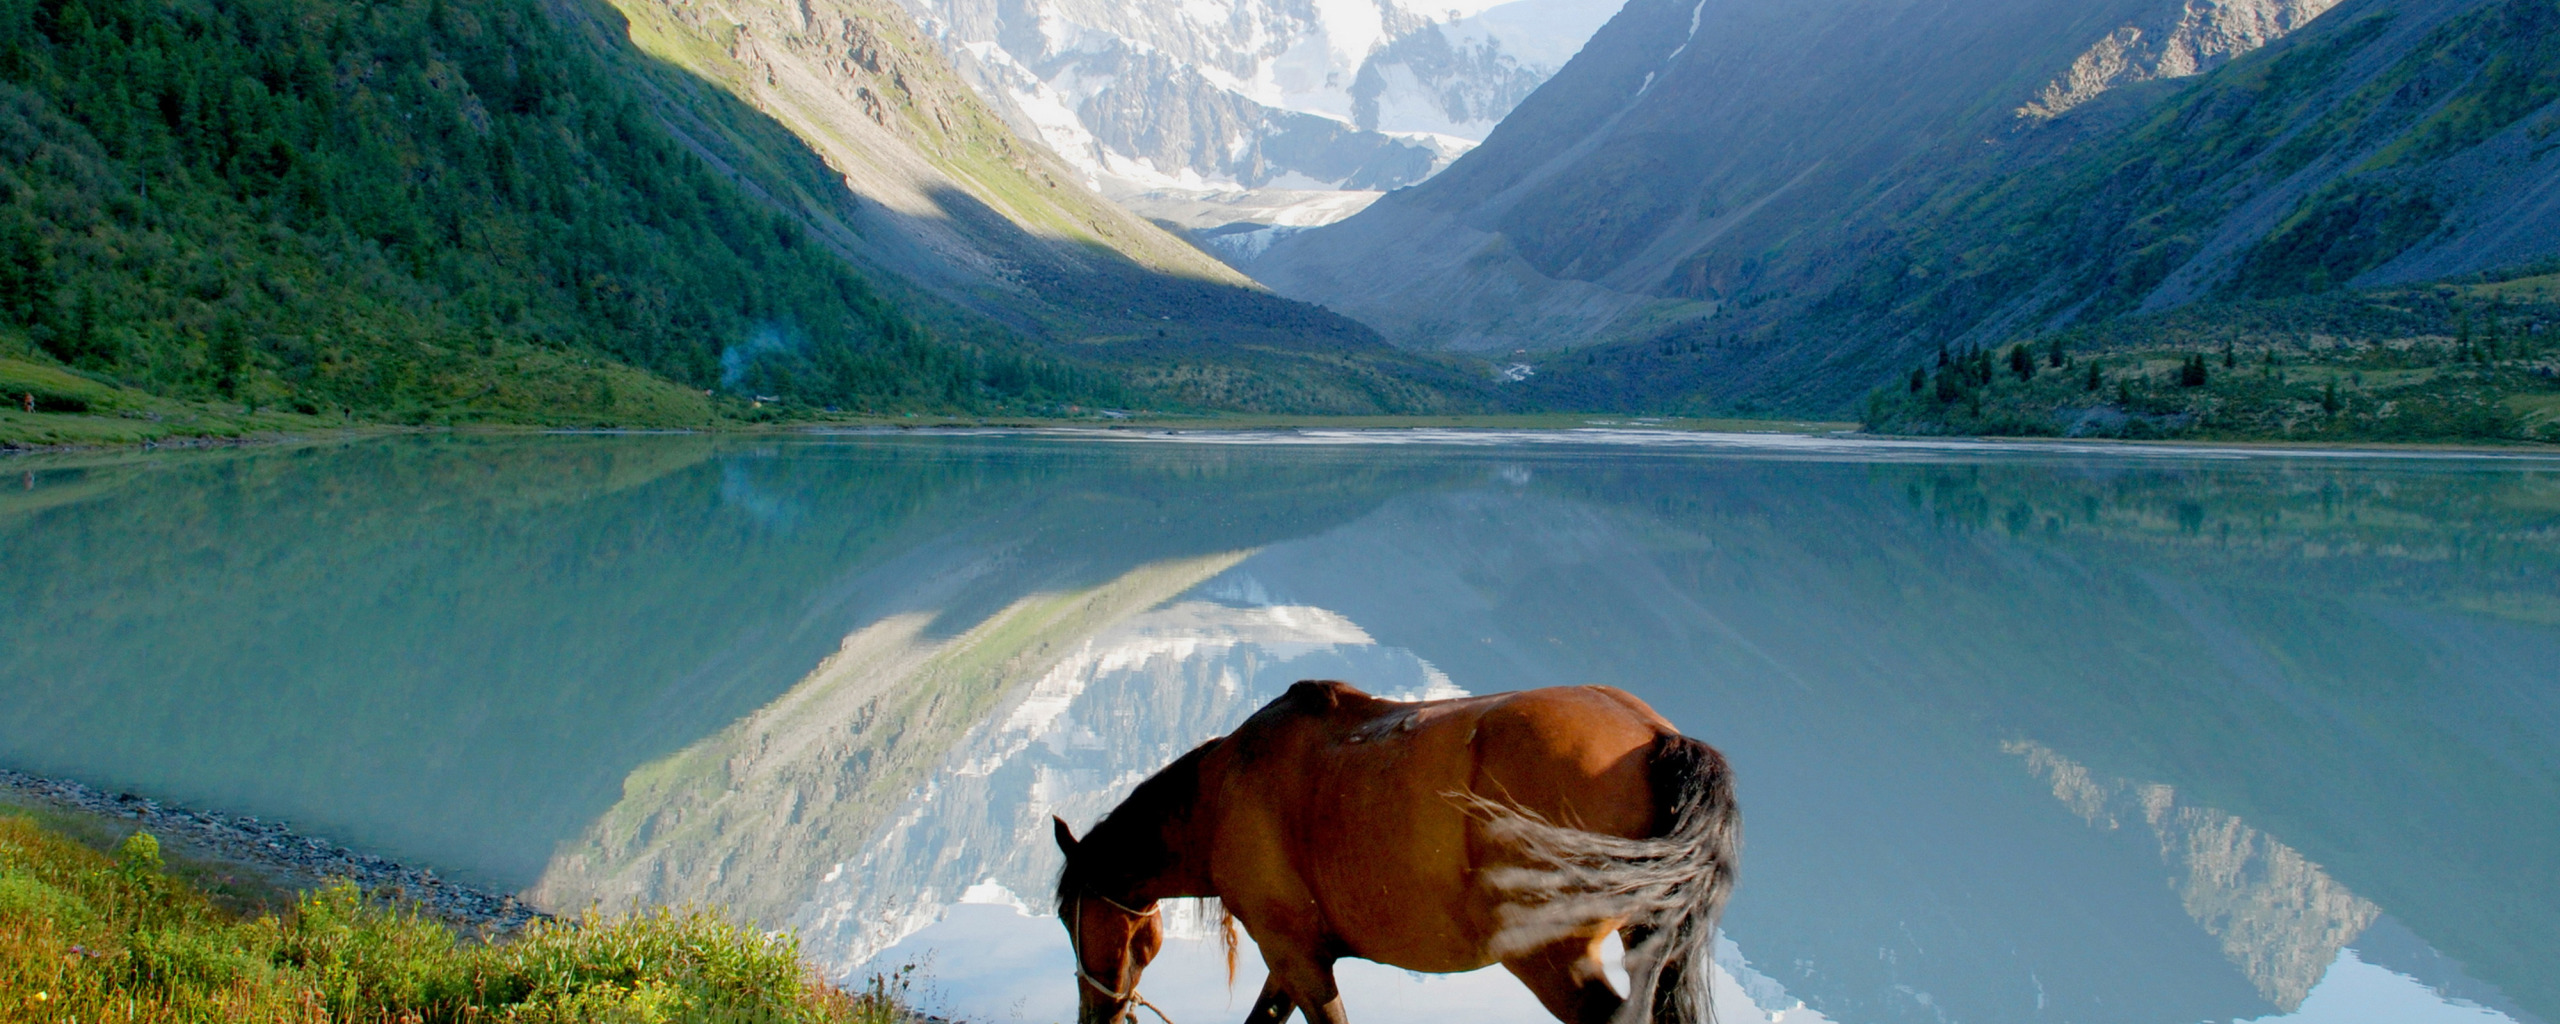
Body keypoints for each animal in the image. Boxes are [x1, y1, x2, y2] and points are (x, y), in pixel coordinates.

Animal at [1044, 680, 1740, 1024]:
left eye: (1068, 918)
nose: (1093, 1016)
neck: (1223, 795)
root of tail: (1656, 737)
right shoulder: (1293, 959)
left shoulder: (1294, 955)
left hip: (1552, 961)